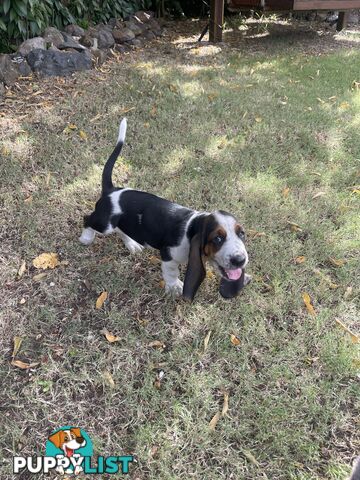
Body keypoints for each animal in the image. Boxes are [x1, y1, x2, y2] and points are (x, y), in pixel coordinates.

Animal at [80, 120, 252, 300]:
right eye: (217, 238)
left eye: (242, 234)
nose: (240, 260)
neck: (191, 228)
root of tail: (111, 191)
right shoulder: (168, 255)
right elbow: (171, 273)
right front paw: (174, 286)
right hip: (105, 224)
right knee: (87, 219)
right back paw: (86, 238)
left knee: (121, 230)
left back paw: (131, 244)